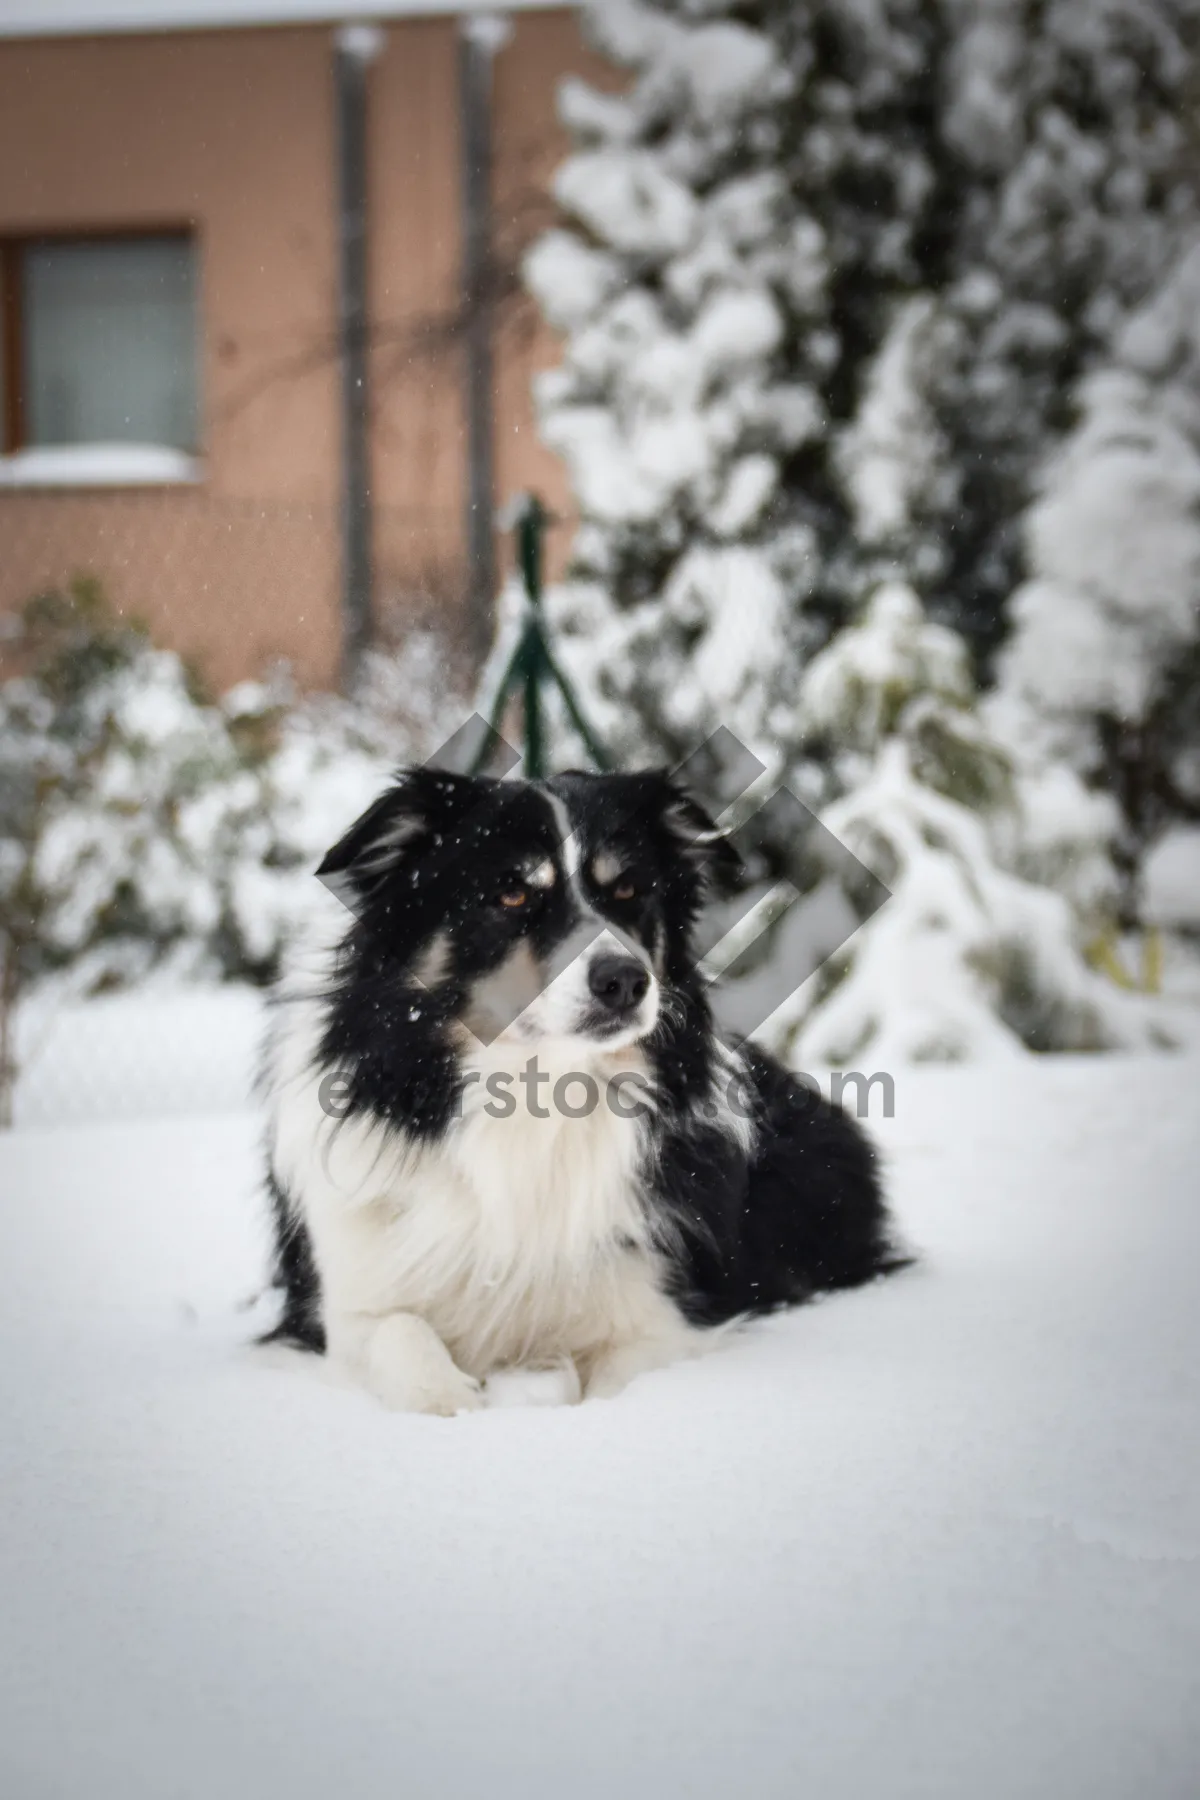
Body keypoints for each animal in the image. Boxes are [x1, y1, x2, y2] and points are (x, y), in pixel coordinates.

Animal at [260, 766, 899, 1411]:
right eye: (512, 894)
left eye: (628, 890)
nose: (625, 981)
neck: (535, 1089)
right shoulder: (347, 1305)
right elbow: (401, 1340)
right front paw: (458, 1403)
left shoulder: (659, 1315)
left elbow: (617, 1379)